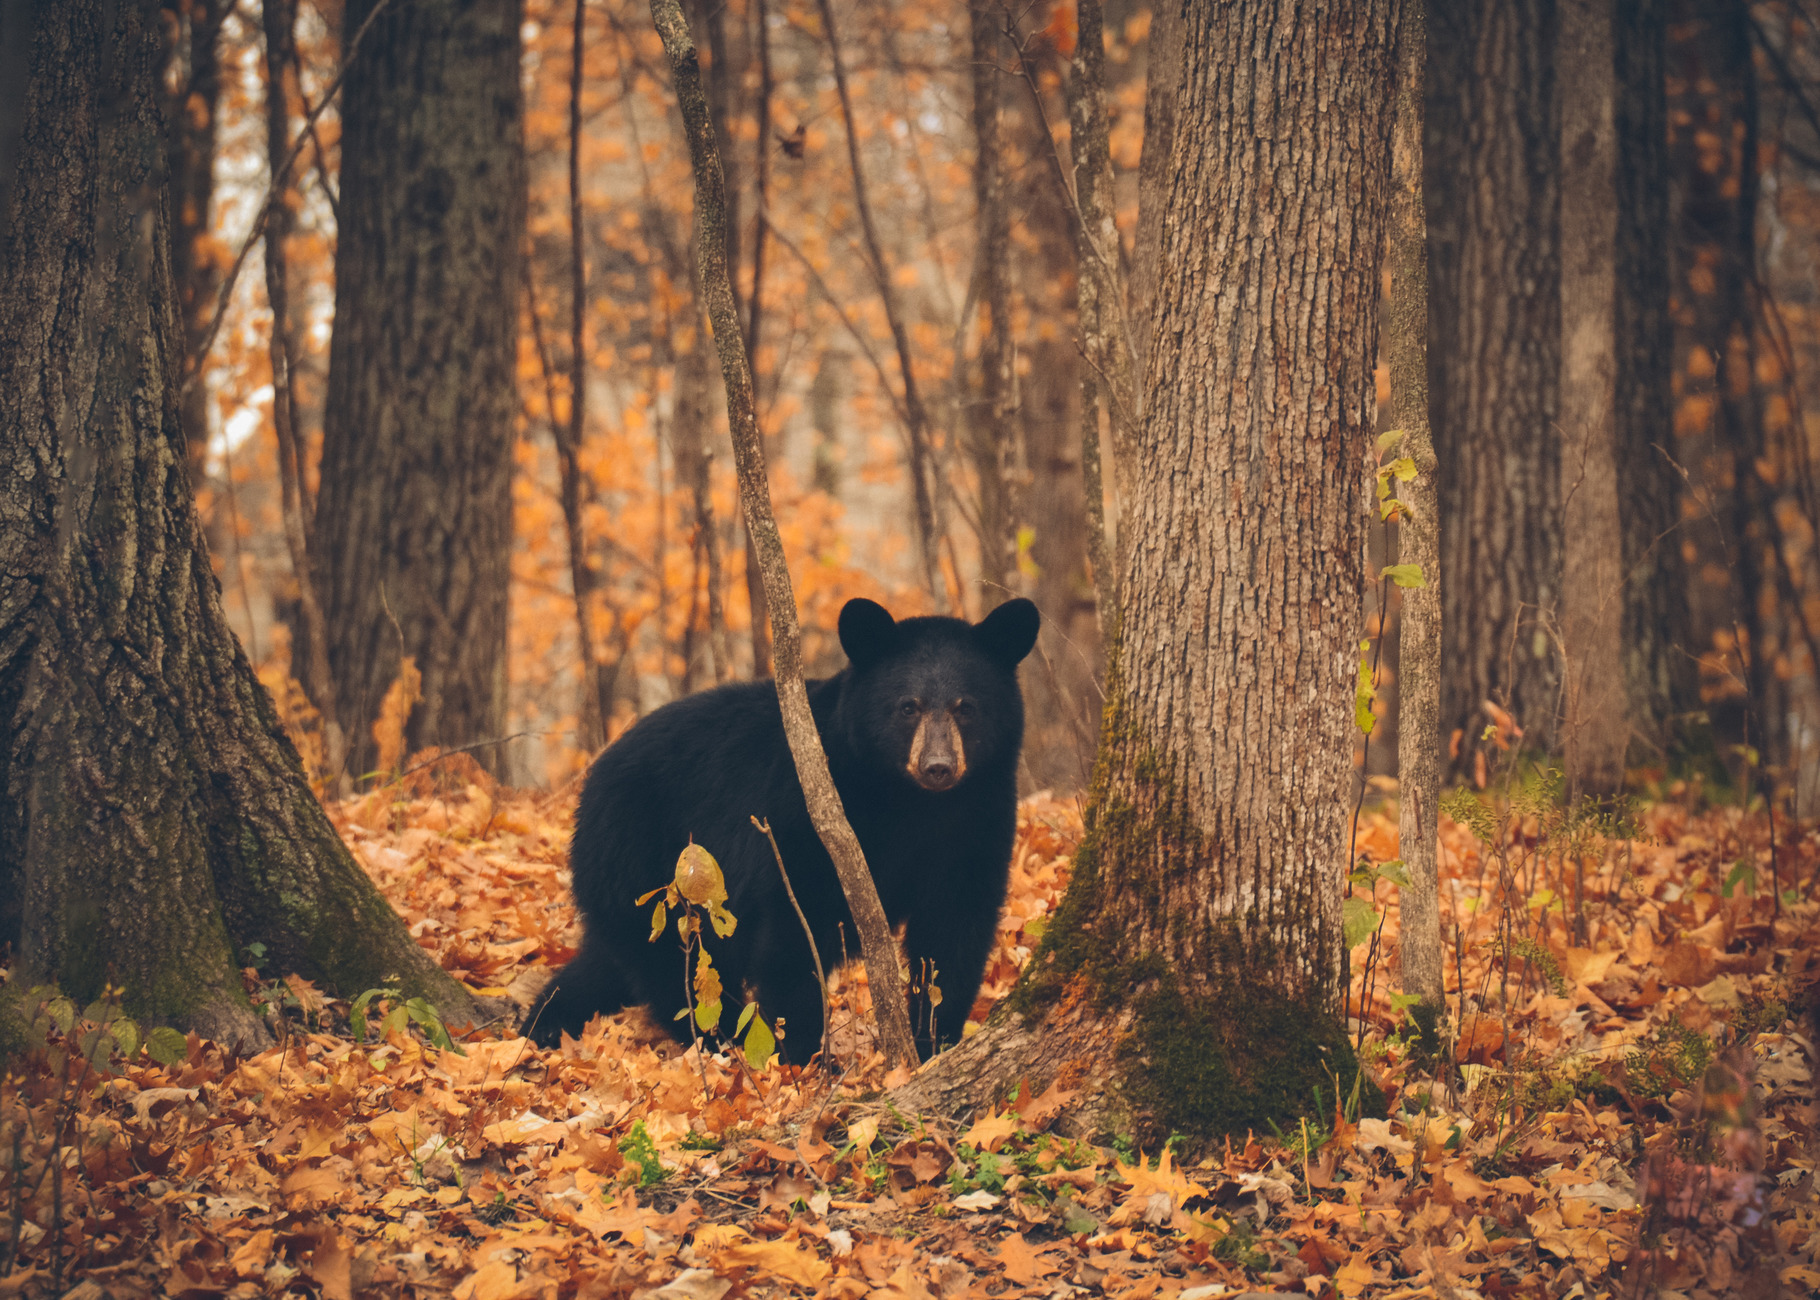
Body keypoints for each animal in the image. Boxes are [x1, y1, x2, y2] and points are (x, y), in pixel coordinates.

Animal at [525, 595, 1040, 1062]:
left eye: (965, 707)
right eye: (908, 707)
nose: (938, 766)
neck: (911, 802)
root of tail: (588, 786)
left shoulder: (978, 818)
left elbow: (955, 926)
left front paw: (935, 1040)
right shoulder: (809, 811)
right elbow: (796, 924)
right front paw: (799, 1053)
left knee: (607, 965)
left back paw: (545, 1021)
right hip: (648, 869)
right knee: (677, 969)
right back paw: (721, 1040)